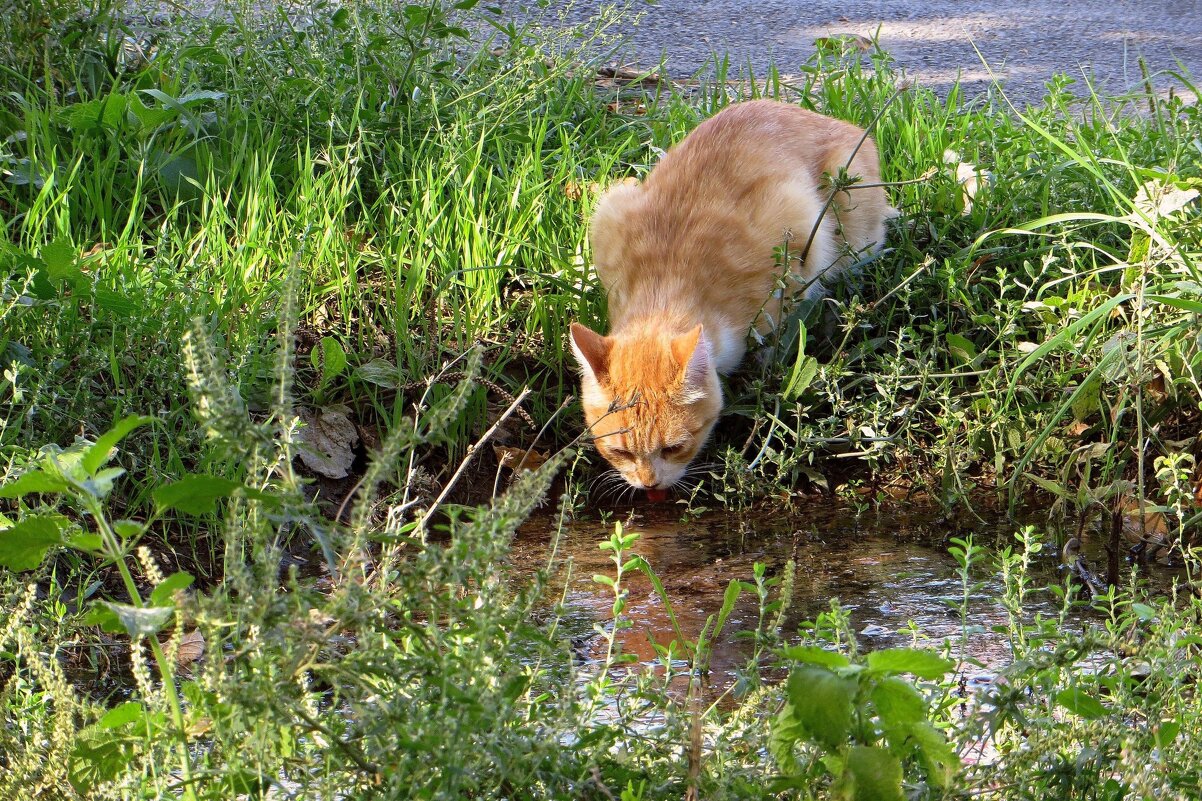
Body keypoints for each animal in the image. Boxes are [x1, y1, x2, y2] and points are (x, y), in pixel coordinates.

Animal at [572, 96, 894, 490]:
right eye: (619, 452)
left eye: (673, 448)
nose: (649, 485)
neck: (665, 286)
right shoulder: (611, 213)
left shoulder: (798, 227)